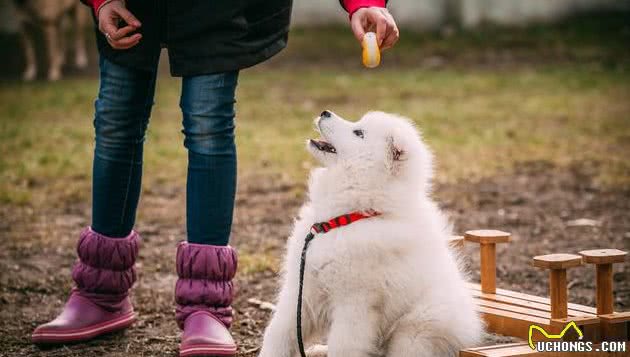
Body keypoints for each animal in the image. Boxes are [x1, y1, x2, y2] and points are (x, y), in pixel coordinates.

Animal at [260, 111, 482, 356]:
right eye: (358, 124)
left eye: (359, 133)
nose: (325, 112)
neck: (344, 219)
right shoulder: (302, 290)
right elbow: (278, 332)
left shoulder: (354, 303)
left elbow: (342, 347)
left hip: (415, 330)